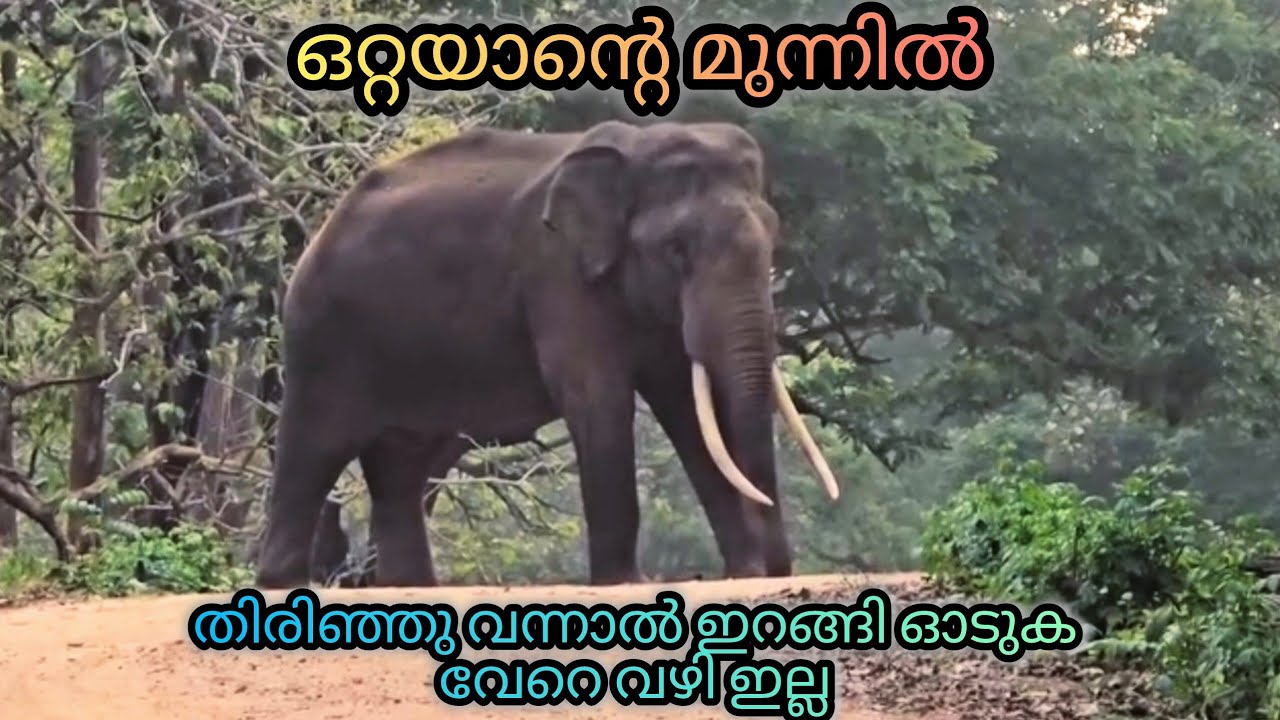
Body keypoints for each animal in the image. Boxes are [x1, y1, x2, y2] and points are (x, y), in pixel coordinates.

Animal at [254, 120, 841, 589]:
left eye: (774, 238)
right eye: (676, 249)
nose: (777, 570)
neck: (637, 147)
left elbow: (685, 410)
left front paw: (742, 573)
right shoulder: (557, 273)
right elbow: (598, 398)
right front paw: (624, 583)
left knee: (403, 468)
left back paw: (408, 587)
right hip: (324, 337)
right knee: (313, 447)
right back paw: (283, 584)